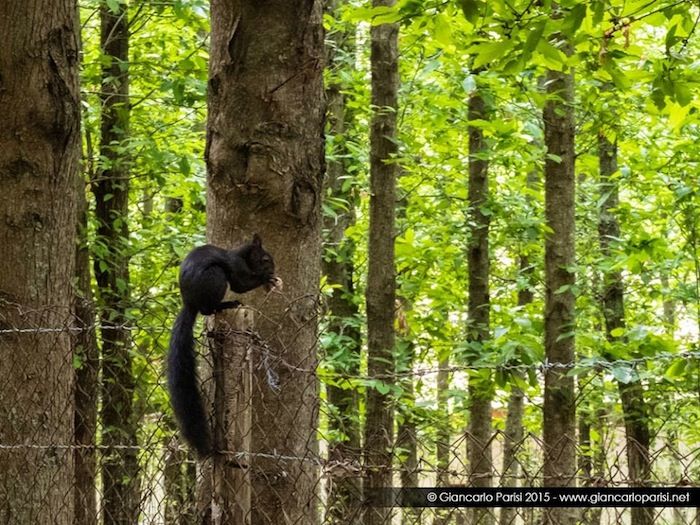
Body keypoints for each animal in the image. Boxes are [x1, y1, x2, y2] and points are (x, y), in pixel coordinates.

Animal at [168, 233, 280, 454]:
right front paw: (265, 278)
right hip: (216, 278)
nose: (273, 270)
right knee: (207, 309)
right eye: (265, 259)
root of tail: (190, 303)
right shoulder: (236, 267)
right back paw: (226, 304)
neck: (242, 255)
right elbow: (240, 285)